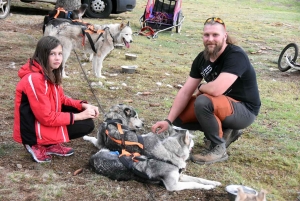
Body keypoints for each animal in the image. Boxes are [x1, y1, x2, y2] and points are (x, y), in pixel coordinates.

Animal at [83, 104, 221, 191]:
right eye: (136, 116)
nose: (143, 123)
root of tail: (92, 159)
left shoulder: (180, 176)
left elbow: (199, 179)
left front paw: (213, 183)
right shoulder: (173, 186)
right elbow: (193, 184)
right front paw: (208, 187)